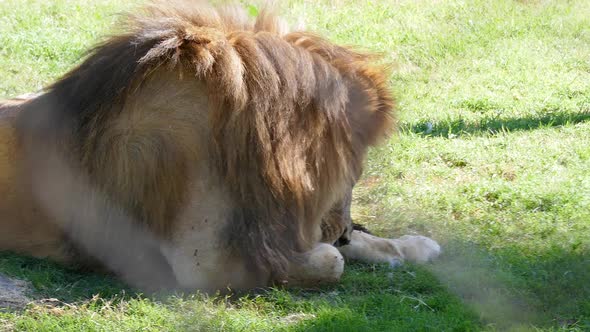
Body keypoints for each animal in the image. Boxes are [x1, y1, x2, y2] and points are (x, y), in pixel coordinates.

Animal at [0, 1, 440, 292]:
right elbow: (331, 262)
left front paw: (413, 245)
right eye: (355, 170)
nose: (343, 231)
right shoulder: (203, 265)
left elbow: (366, 245)